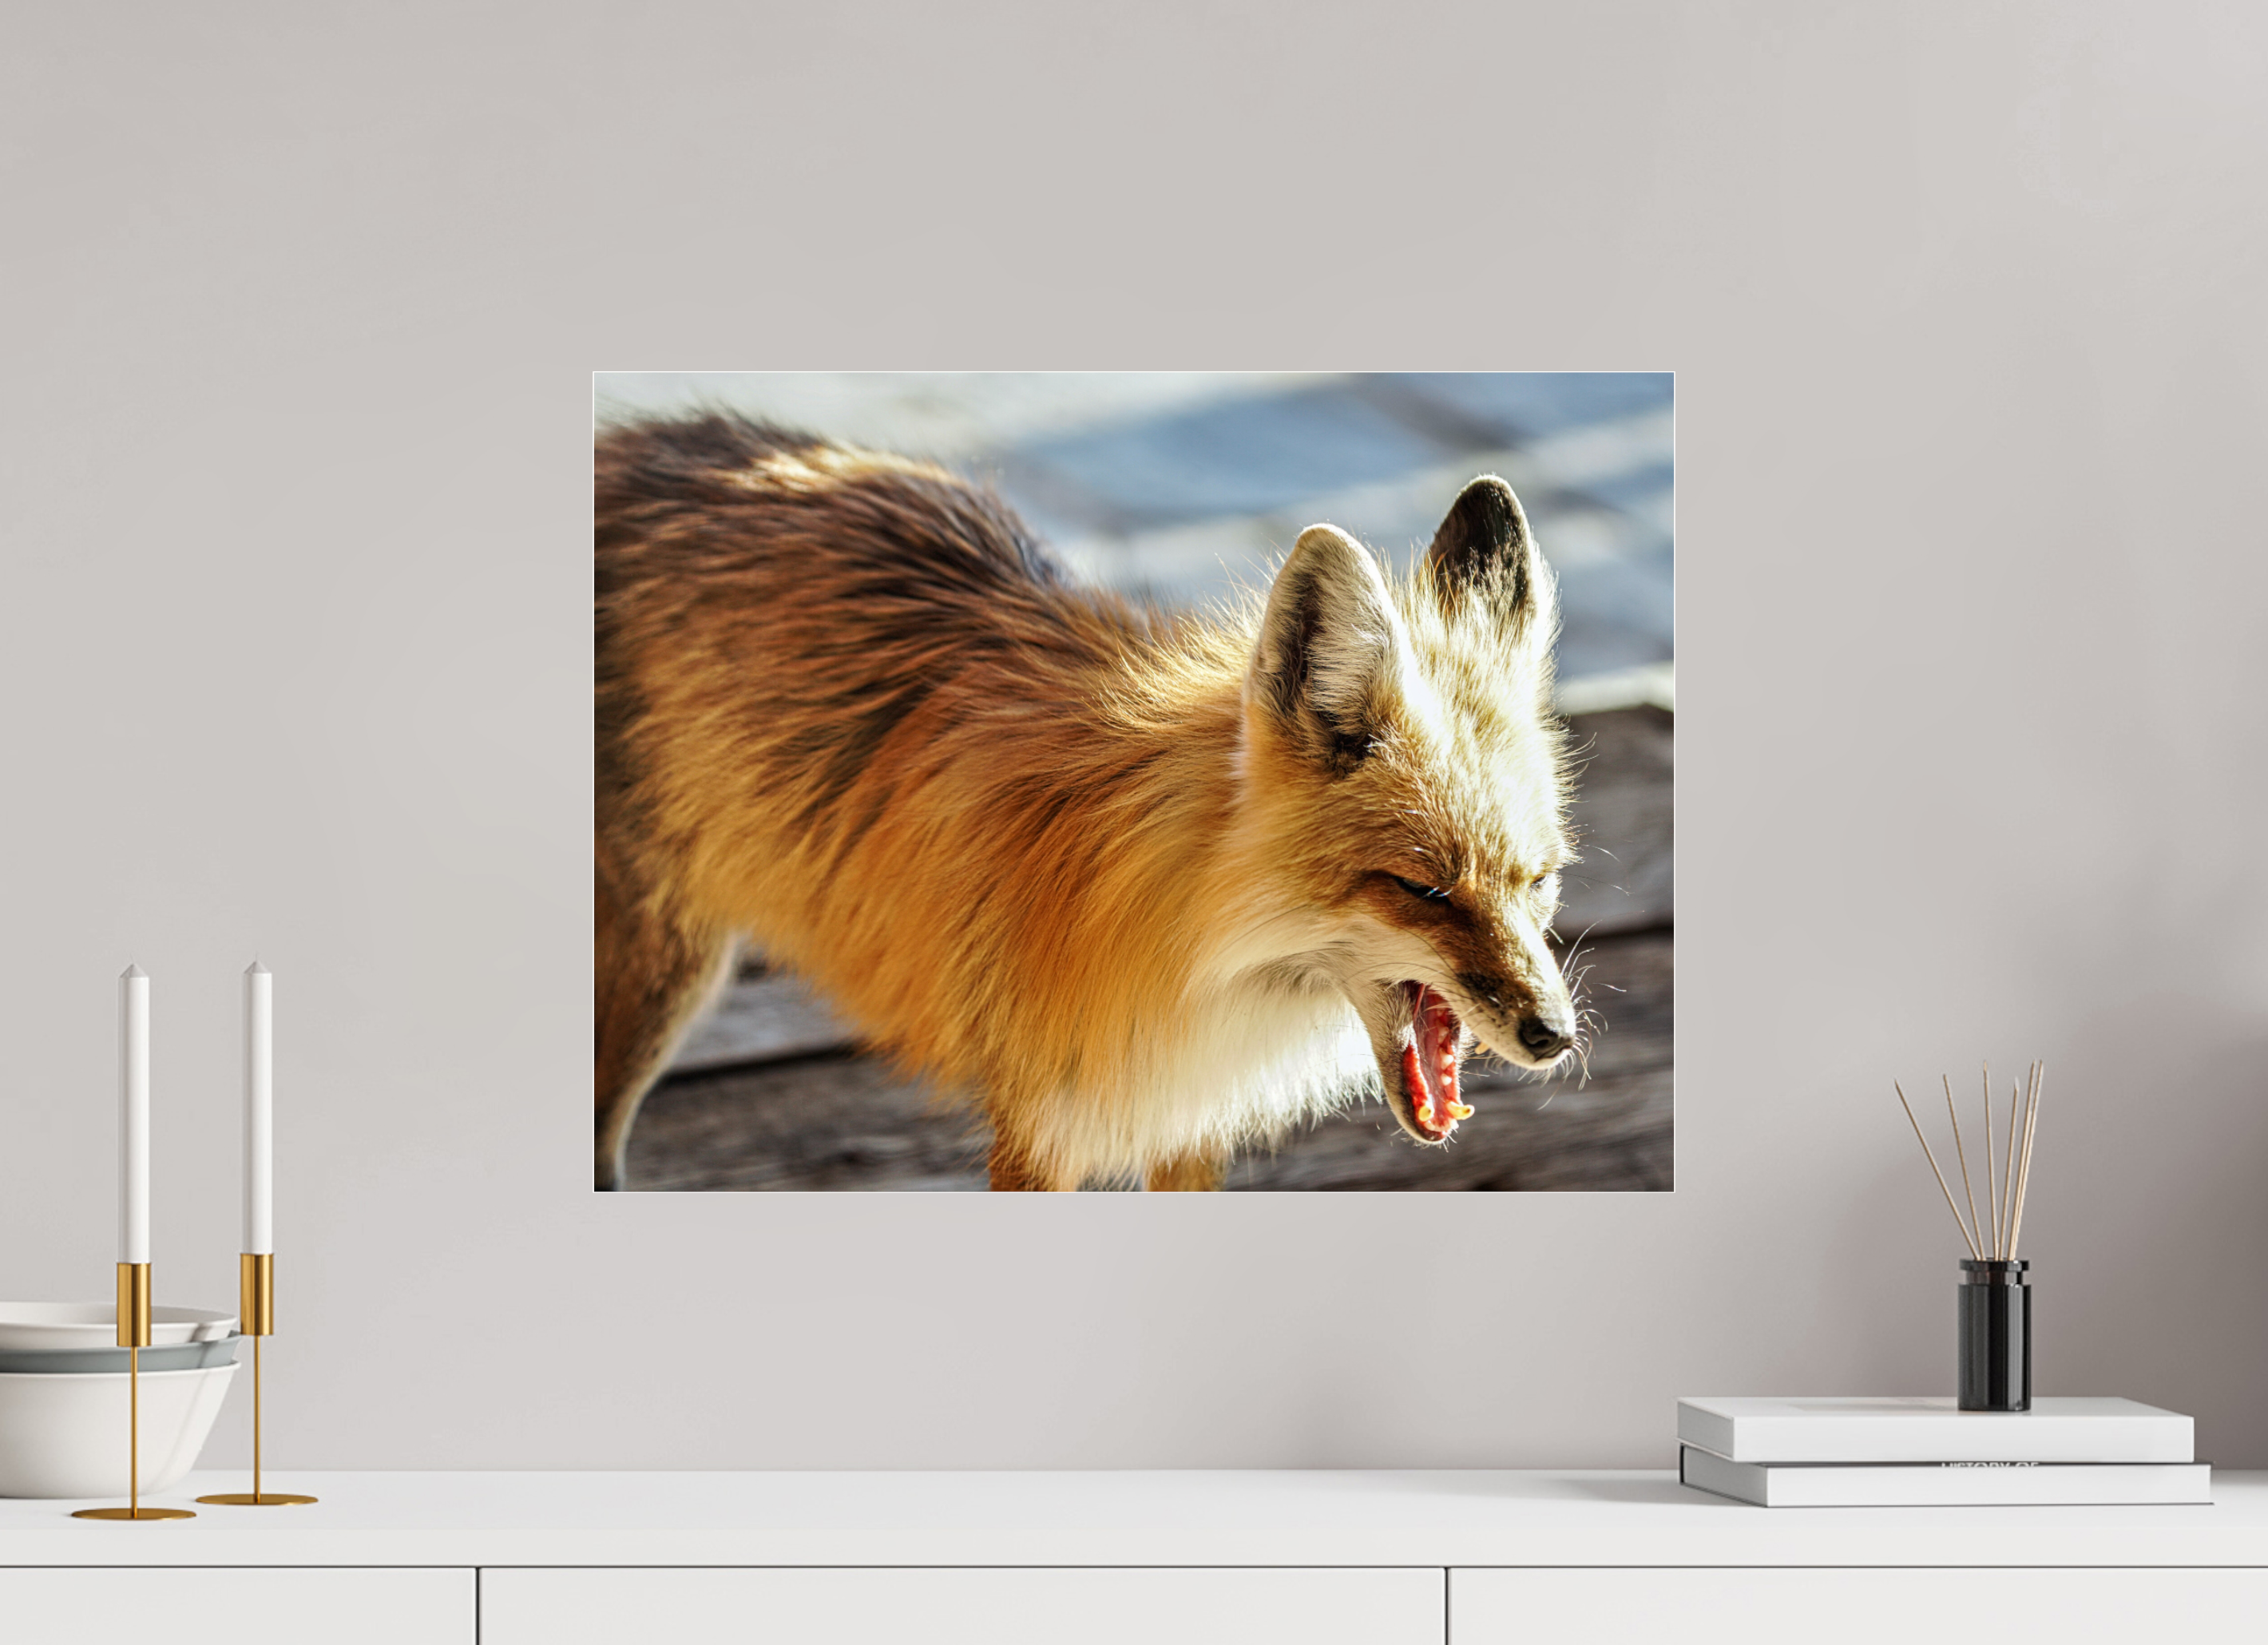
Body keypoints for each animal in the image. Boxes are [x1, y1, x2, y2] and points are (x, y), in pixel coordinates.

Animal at [594, 412, 1580, 1191]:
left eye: (1536, 883)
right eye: (1422, 890)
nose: (1557, 1037)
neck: (1194, 946)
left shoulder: (1184, 1123)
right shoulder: (1040, 1128)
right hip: (662, 978)